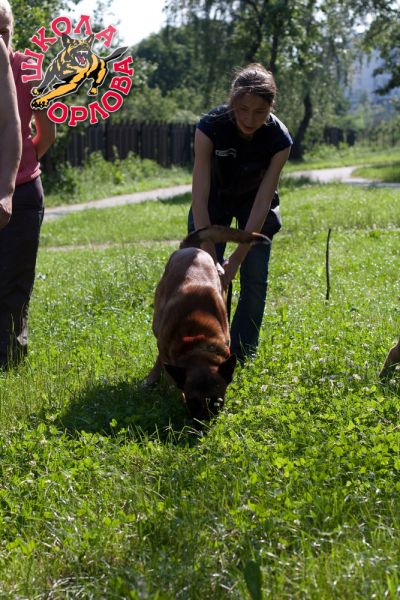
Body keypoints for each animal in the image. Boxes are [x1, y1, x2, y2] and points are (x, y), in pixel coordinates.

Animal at [146, 225, 270, 422]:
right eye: (193, 403)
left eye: (217, 402)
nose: (204, 425)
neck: (197, 336)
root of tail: (190, 248)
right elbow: (170, 377)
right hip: (157, 323)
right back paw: (152, 377)